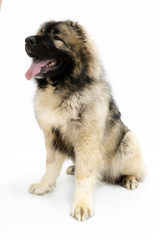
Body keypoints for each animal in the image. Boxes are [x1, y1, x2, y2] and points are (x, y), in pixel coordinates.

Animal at [24, 20, 145, 221]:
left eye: (56, 37)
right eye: (40, 33)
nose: (27, 40)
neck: (62, 90)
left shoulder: (86, 140)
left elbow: (84, 176)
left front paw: (81, 205)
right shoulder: (52, 136)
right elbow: (50, 166)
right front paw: (44, 186)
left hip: (129, 140)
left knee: (137, 171)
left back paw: (129, 179)